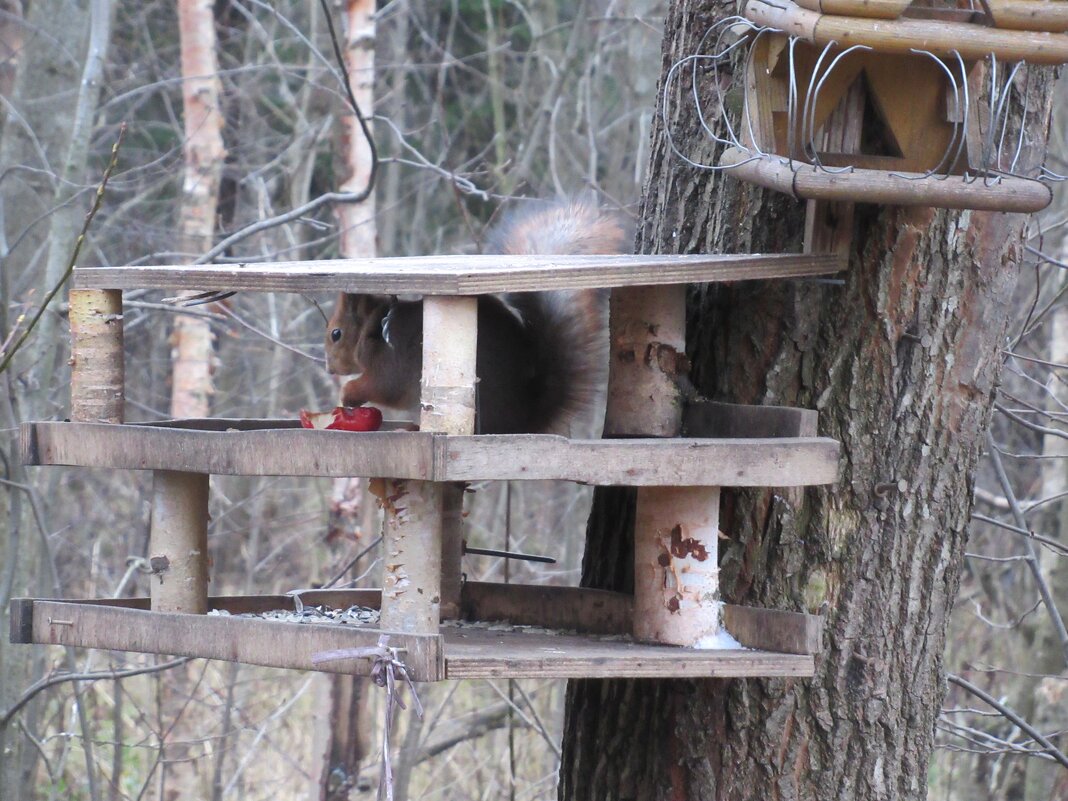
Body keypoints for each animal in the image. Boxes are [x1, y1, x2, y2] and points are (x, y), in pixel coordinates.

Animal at [320, 201, 627, 440]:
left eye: (336, 333)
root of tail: (519, 423)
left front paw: (348, 394)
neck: (373, 327)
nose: (330, 369)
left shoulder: (390, 364)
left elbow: (382, 386)